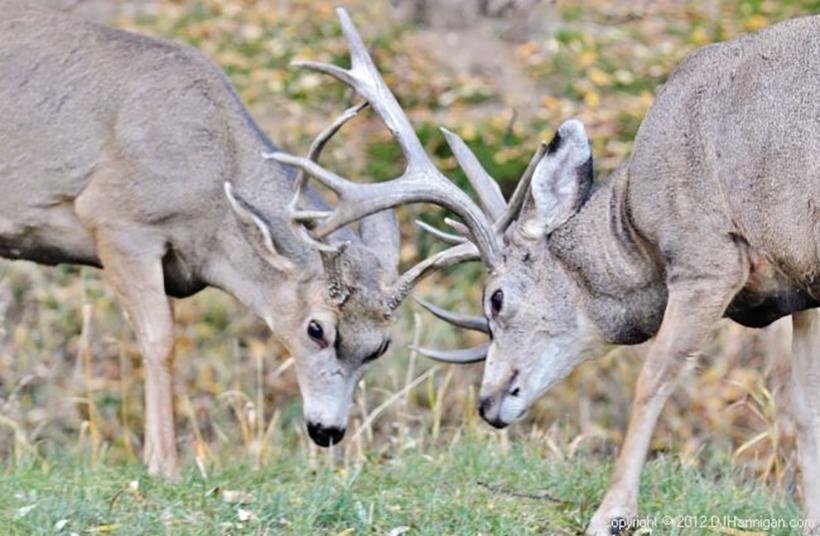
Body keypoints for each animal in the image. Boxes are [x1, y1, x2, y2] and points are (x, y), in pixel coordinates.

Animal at [0, 2, 494, 478]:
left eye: (380, 346)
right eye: (316, 328)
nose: (327, 431)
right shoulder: (117, 220)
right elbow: (159, 340)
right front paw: (164, 465)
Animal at [282, 13, 820, 536]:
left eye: (496, 299)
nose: (488, 403)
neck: (635, 225)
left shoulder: (706, 254)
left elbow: (654, 377)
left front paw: (611, 515)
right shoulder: (804, 288)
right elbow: (805, 408)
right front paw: (811, 521)